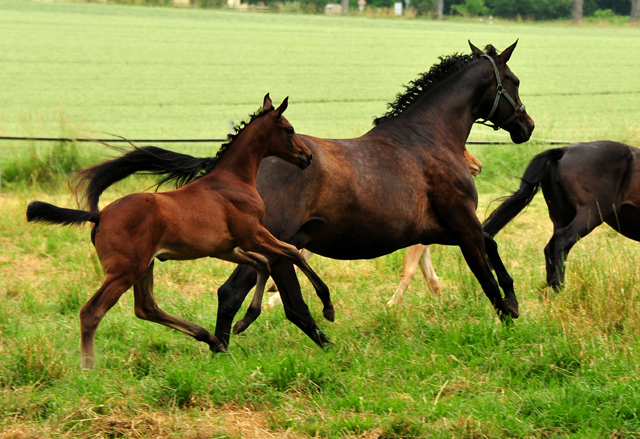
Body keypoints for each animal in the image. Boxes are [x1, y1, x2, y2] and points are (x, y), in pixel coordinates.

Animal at [75, 40, 536, 350]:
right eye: (513, 81)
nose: (526, 126)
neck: (429, 137)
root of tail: (232, 167)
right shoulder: (460, 223)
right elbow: (485, 270)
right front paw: (509, 320)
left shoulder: (441, 229)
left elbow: (492, 247)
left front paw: (514, 302)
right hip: (275, 241)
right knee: (249, 295)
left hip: (275, 244)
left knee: (259, 297)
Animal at [484, 141, 640, 290]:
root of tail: (565, 150)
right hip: (592, 213)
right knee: (563, 239)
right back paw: (558, 285)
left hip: (562, 217)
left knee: (550, 247)